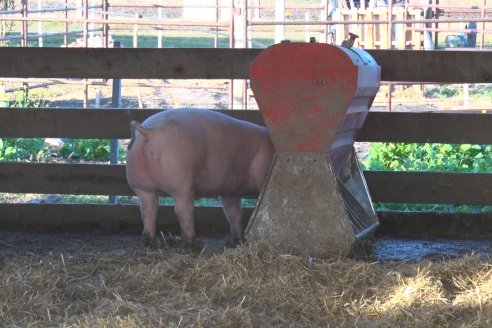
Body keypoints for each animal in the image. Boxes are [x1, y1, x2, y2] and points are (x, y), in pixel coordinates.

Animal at [125, 108, 274, 249]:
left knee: (148, 209)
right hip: (180, 181)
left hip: (140, 185)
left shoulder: (229, 191)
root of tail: (149, 131)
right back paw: (193, 245)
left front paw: (236, 241)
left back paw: (152, 243)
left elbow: (234, 213)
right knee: (182, 210)